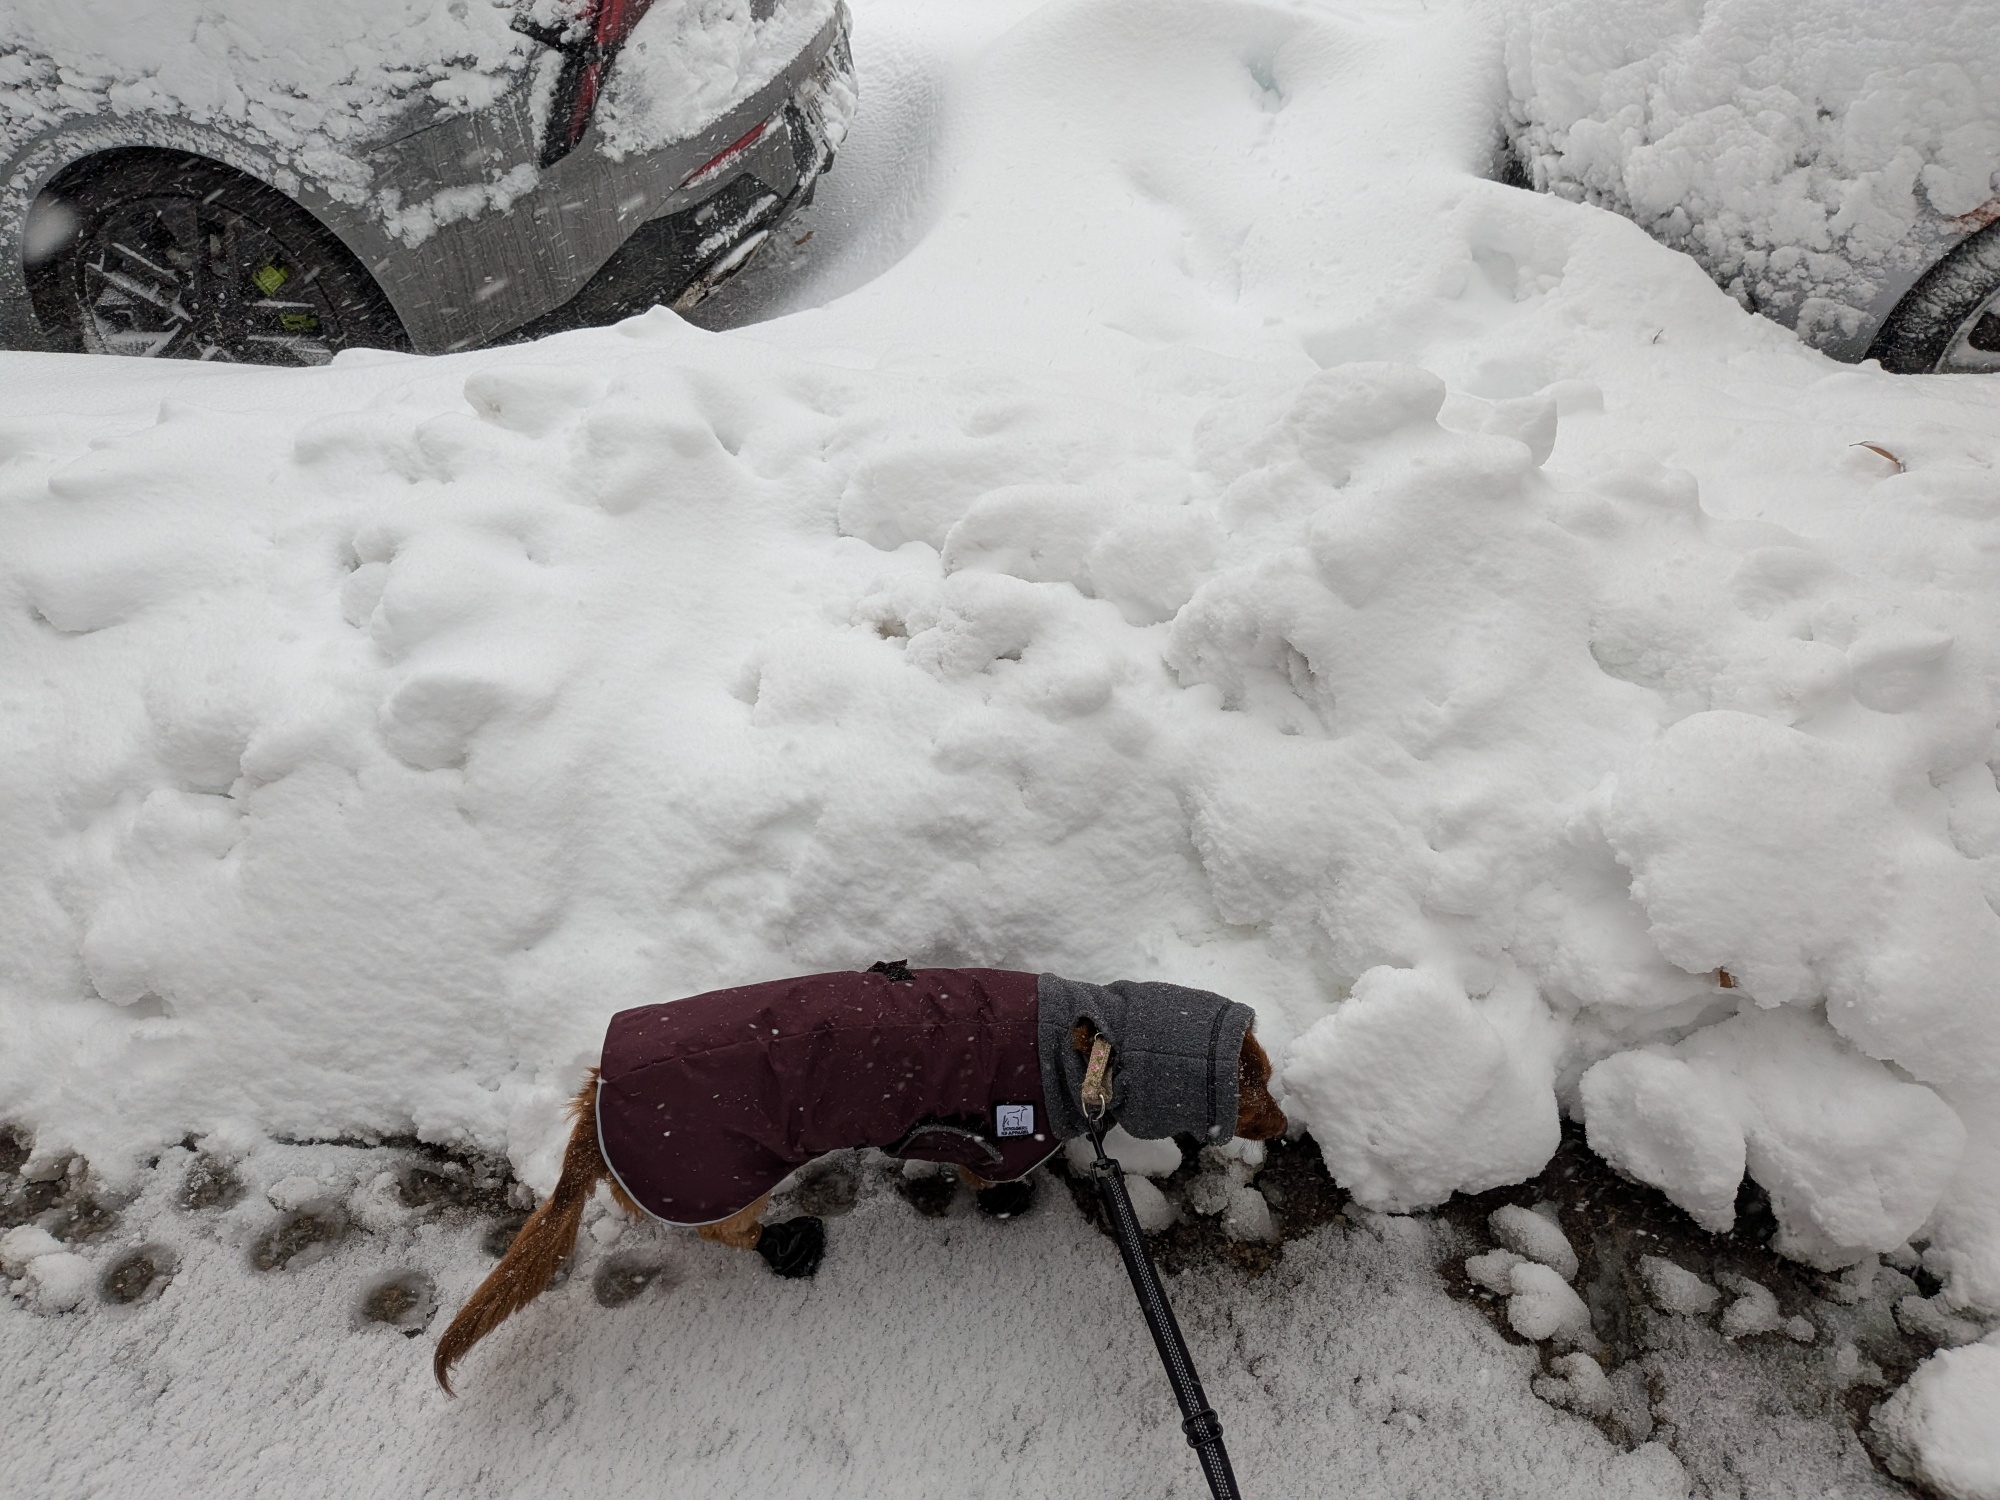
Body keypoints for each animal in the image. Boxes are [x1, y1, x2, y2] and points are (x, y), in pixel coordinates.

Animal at [434, 964, 1287, 1393]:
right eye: (1253, 1093)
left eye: (1270, 1079)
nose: (1285, 1130)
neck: (1084, 1040)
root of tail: (594, 1099)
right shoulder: (1002, 1137)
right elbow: (990, 1179)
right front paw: (1011, 1200)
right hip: (724, 1175)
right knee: (725, 1233)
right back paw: (787, 1242)